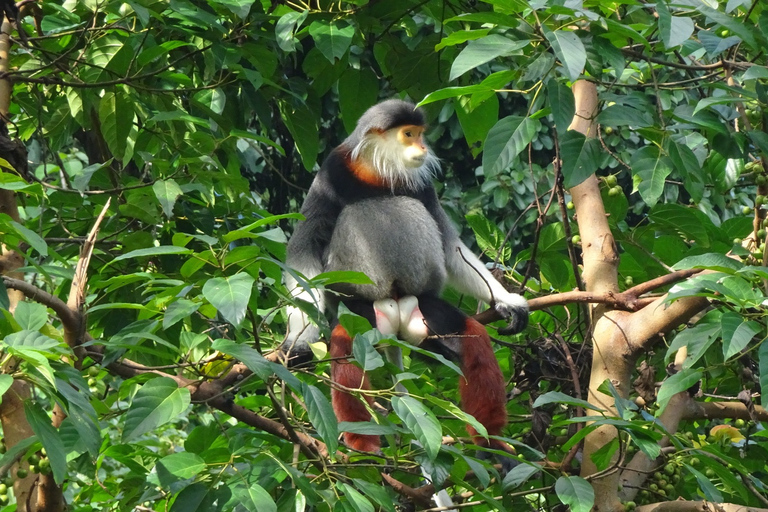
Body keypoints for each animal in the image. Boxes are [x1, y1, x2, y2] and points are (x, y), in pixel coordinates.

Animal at [282, 98, 528, 454]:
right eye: (409, 134)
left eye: (421, 134)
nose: (423, 146)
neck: (377, 173)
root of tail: (396, 303)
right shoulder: (329, 174)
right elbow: (303, 252)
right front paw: (300, 339)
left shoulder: (423, 187)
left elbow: (450, 246)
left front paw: (507, 299)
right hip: (362, 312)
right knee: (347, 346)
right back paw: (362, 443)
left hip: (424, 309)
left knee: (471, 336)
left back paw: (492, 443)